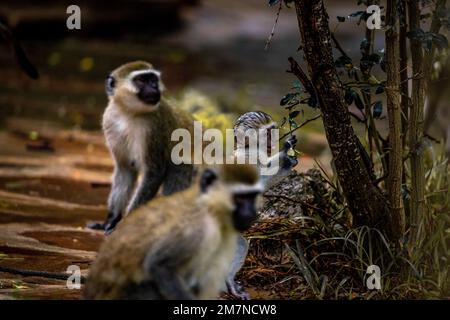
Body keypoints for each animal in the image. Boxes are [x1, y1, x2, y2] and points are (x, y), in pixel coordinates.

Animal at [87, 61, 194, 234]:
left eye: (153, 79)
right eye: (142, 80)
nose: (155, 87)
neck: (128, 114)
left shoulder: (154, 128)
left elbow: (154, 173)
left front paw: (125, 225)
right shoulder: (110, 120)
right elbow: (125, 170)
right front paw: (111, 220)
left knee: (181, 166)